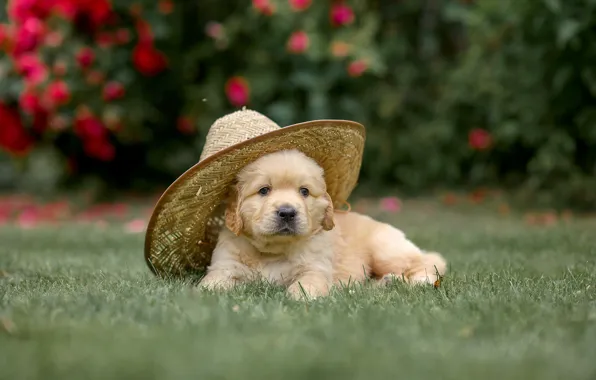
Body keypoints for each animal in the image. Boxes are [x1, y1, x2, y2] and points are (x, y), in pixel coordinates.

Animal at [200, 149, 448, 300]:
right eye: (263, 190)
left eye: (304, 191)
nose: (287, 212)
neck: (273, 251)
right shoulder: (225, 264)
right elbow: (212, 283)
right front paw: (204, 293)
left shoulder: (315, 267)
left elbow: (307, 283)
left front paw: (299, 297)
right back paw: (385, 283)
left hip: (385, 251)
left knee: (428, 262)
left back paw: (417, 282)